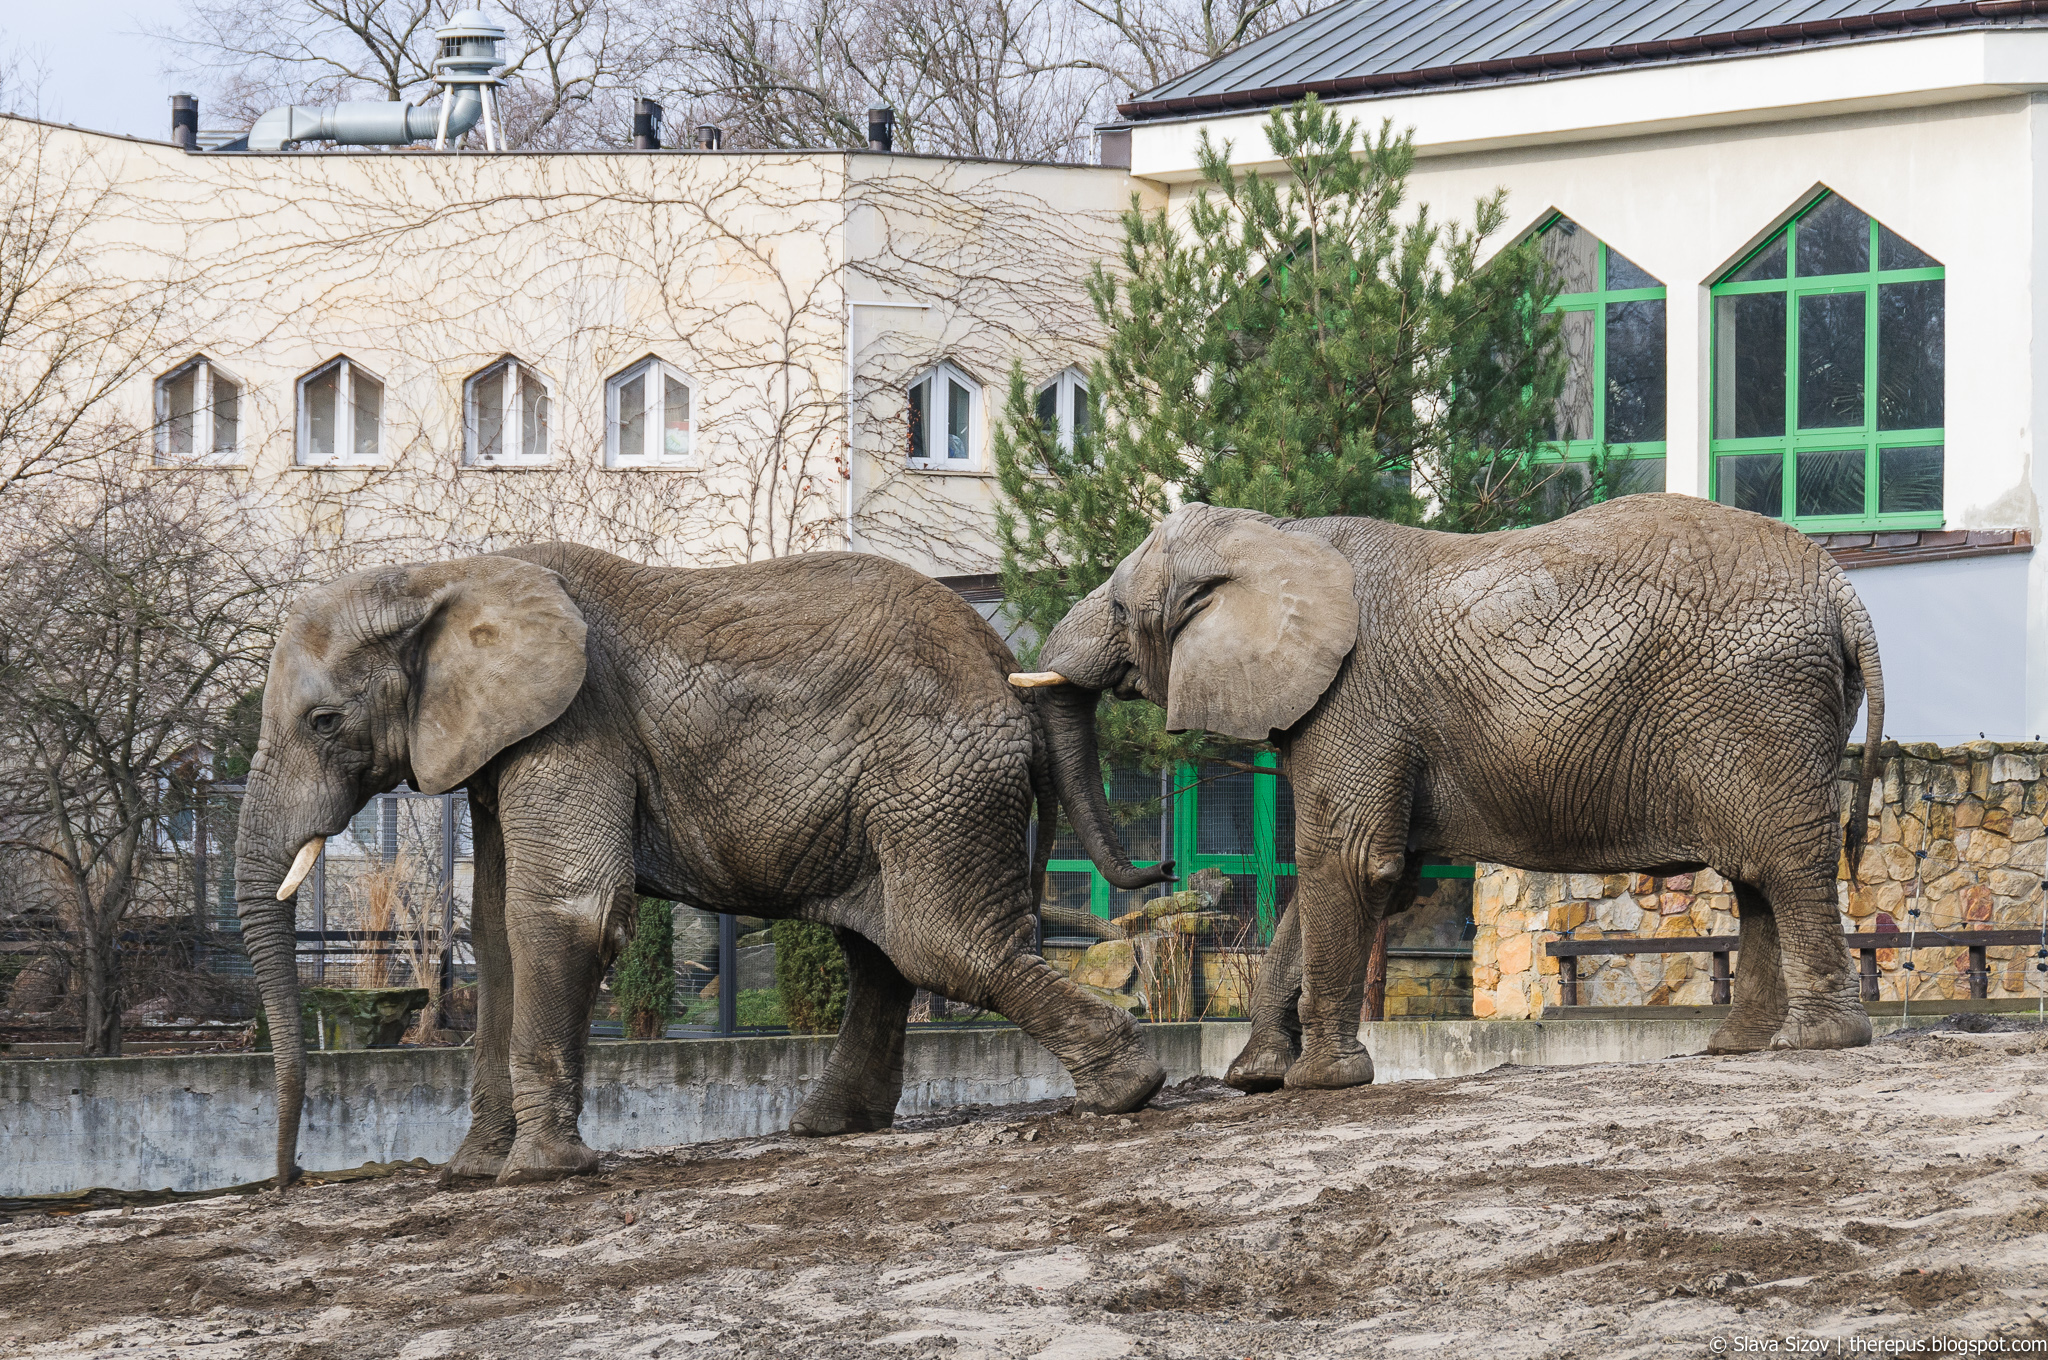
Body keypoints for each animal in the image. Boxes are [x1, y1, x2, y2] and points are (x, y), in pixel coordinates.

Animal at [235, 548, 1171, 1187]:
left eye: (324, 721)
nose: (286, 1180)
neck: (445, 571)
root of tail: (1002, 660)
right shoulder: (503, 753)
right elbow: (498, 934)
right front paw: (471, 1176)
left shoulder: (576, 728)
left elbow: (562, 913)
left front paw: (537, 1174)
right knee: (884, 947)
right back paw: (830, 1127)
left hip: (935, 775)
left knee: (937, 944)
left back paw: (1129, 1089)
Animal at [1015, 499, 1892, 1097]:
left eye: (1120, 608)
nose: (1167, 870)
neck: (1274, 533)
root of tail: (1846, 594)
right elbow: (1344, 873)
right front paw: (1255, 1078)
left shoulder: (1354, 700)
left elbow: (1350, 863)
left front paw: (1319, 1084)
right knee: (1756, 873)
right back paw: (1738, 1047)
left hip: (1760, 706)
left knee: (1784, 863)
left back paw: (1814, 1043)